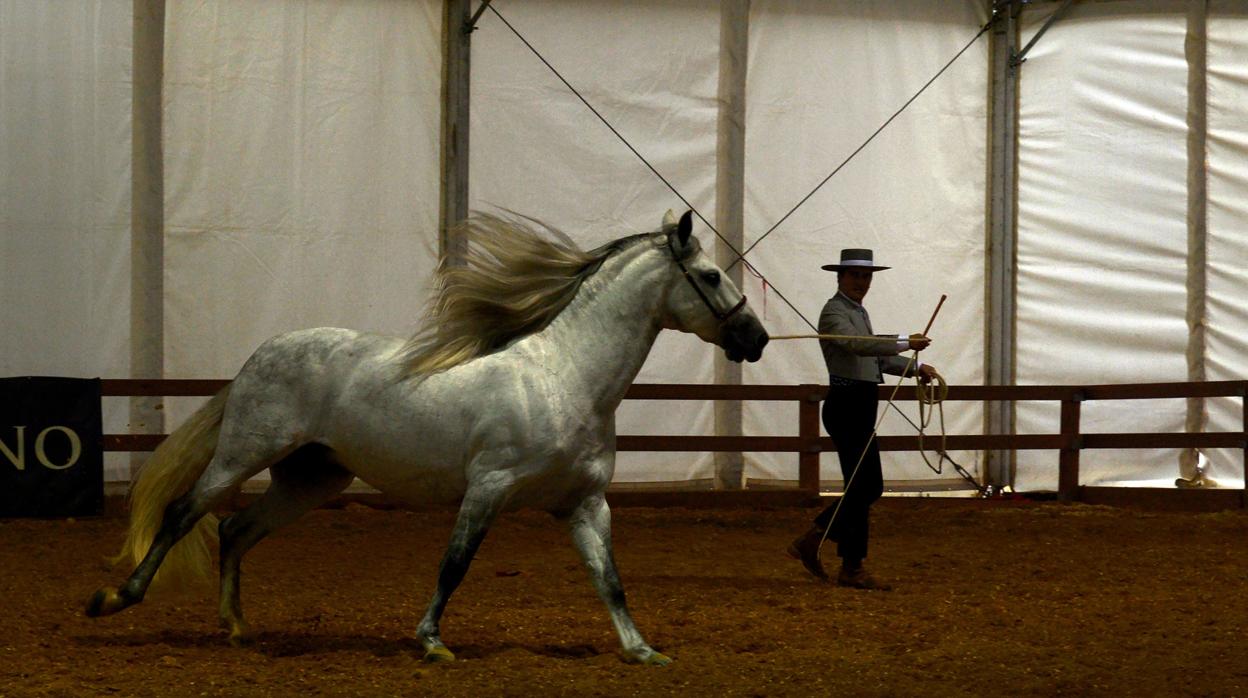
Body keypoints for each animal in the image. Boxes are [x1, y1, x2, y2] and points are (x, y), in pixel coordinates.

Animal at [85, 208, 758, 664]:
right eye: (710, 275)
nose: (755, 338)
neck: (565, 377)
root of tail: (259, 355)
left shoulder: (584, 504)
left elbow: (609, 580)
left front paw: (643, 651)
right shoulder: (489, 486)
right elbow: (454, 563)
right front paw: (431, 642)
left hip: (310, 479)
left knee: (234, 529)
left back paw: (237, 628)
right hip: (243, 452)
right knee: (182, 513)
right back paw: (116, 598)